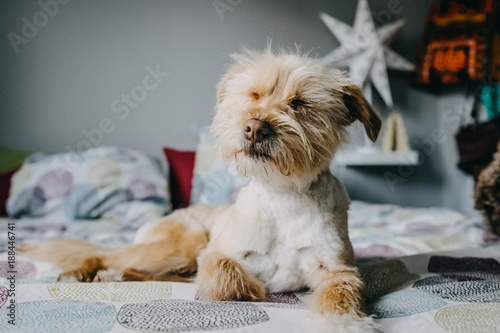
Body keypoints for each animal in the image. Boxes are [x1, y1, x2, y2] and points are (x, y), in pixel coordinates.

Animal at [21, 48, 382, 330]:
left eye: (300, 104)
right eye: (253, 96)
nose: (254, 128)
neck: (282, 196)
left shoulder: (337, 270)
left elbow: (340, 296)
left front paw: (343, 323)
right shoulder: (215, 252)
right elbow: (228, 281)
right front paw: (254, 289)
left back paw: (115, 276)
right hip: (185, 242)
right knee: (105, 254)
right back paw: (84, 273)